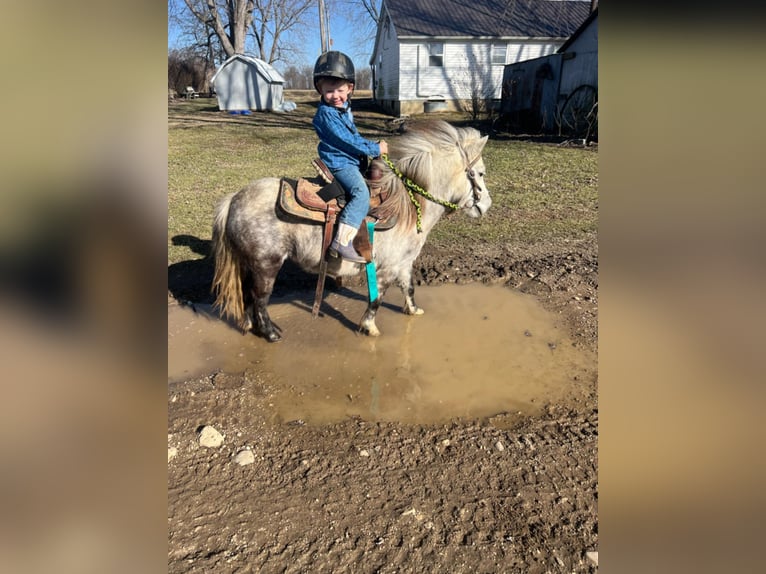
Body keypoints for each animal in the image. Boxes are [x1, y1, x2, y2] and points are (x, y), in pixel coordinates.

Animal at [212, 118, 492, 340]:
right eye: (479, 173)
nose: (486, 205)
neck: (408, 206)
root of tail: (234, 199)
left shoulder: (404, 263)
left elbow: (409, 288)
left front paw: (413, 310)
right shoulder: (388, 267)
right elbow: (377, 297)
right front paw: (369, 327)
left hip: (252, 264)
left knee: (249, 295)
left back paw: (252, 326)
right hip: (266, 264)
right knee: (260, 297)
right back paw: (270, 333)